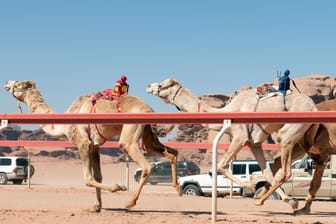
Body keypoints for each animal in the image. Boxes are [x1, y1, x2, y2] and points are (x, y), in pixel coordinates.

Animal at [3, 80, 181, 212]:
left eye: (18, 84)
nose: (6, 83)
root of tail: (148, 109)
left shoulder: (83, 142)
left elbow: (88, 179)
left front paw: (118, 187)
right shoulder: (94, 146)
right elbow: (98, 177)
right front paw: (96, 207)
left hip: (131, 132)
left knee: (144, 164)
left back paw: (130, 202)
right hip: (147, 134)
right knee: (171, 152)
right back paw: (177, 188)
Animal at [146, 78, 328, 214]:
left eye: (161, 85)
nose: (148, 86)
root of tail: (313, 107)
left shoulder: (240, 137)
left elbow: (221, 165)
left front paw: (249, 186)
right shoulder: (254, 143)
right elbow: (266, 172)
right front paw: (290, 202)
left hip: (289, 133)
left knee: (287, 170)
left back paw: (260, 200)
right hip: (302, 136)